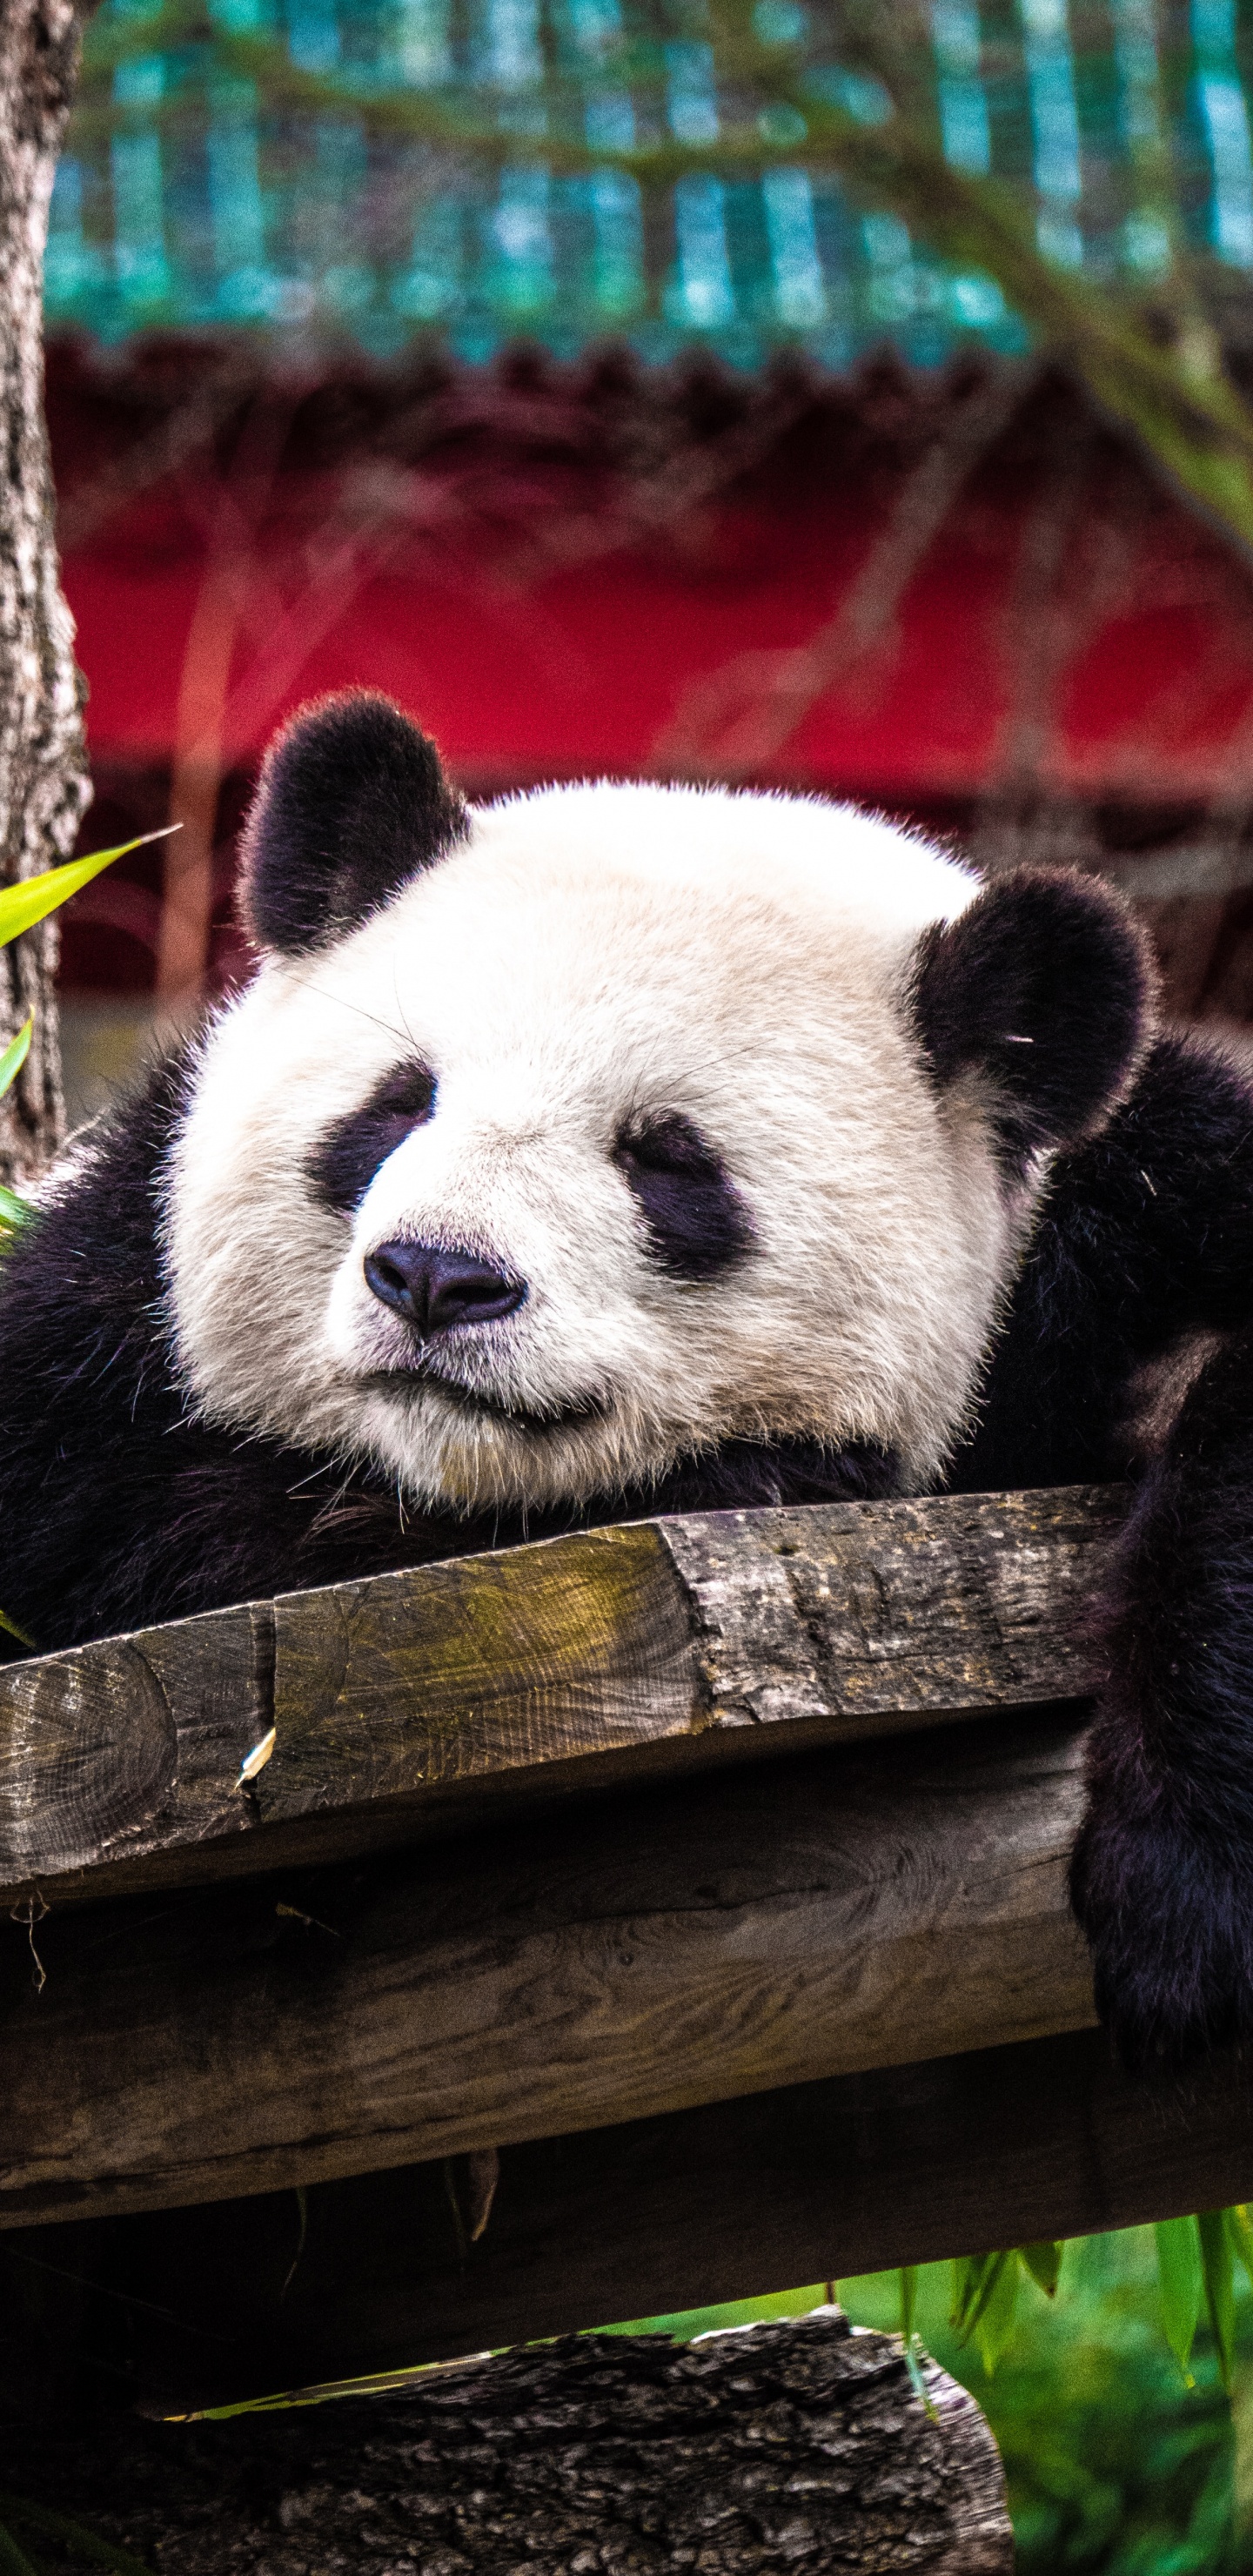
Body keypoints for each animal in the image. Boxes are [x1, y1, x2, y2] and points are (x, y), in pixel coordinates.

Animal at [1, 688, 1251, 2072]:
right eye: (399, 1102)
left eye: (666, 1157)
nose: (437, 1277)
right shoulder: (91, 1329)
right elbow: (140, 1524)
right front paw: (783, 1474)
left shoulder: (1134, 1210)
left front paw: (1180, 1905)